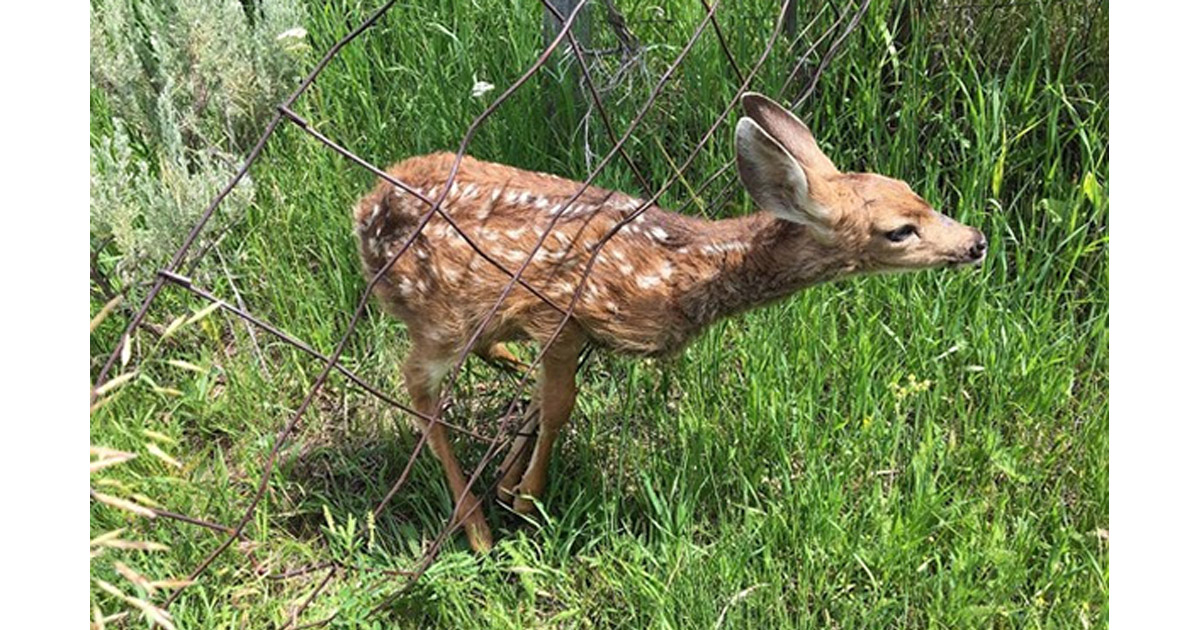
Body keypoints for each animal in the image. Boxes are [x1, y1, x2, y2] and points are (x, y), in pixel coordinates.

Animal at [352, 93, 987, 552]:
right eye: (900, 230)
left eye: (914, 191)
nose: (977, 242)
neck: (682, 270)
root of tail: (364, 209)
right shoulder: (561, 313)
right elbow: (560, 406)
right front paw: (525, 500)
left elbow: (539, 403)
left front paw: (511, 479)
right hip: (440, 315)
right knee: (417, 390)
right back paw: (477, 529)